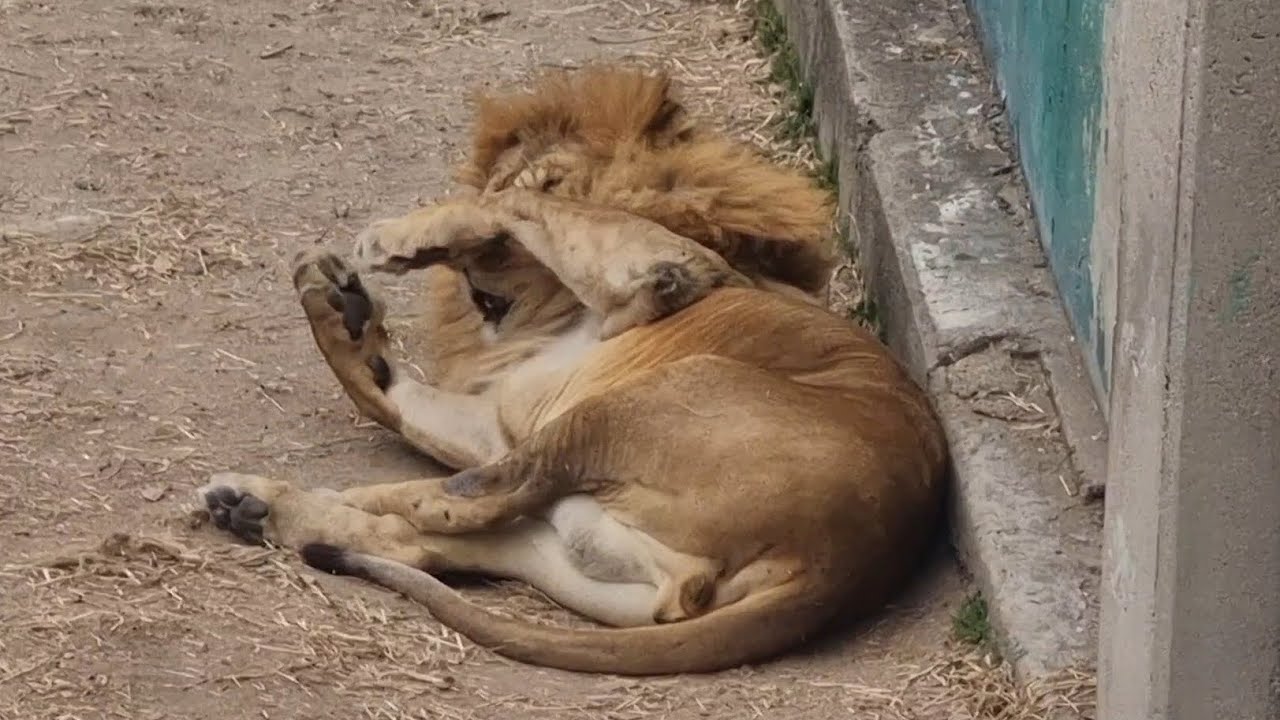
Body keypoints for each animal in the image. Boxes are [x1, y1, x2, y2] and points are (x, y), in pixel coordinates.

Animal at [196, 66, 949, 676]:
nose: (474, 287)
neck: (541, 316)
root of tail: (842, 567)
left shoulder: (667, 269)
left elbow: (524, 205)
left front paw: (405, 238)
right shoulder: (499, 415)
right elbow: (383, 393)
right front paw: (337, 308)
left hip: (659, 392)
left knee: (470, 495)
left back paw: (312, 499)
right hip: (578, 550)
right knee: (437, 539)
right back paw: (259, 506)